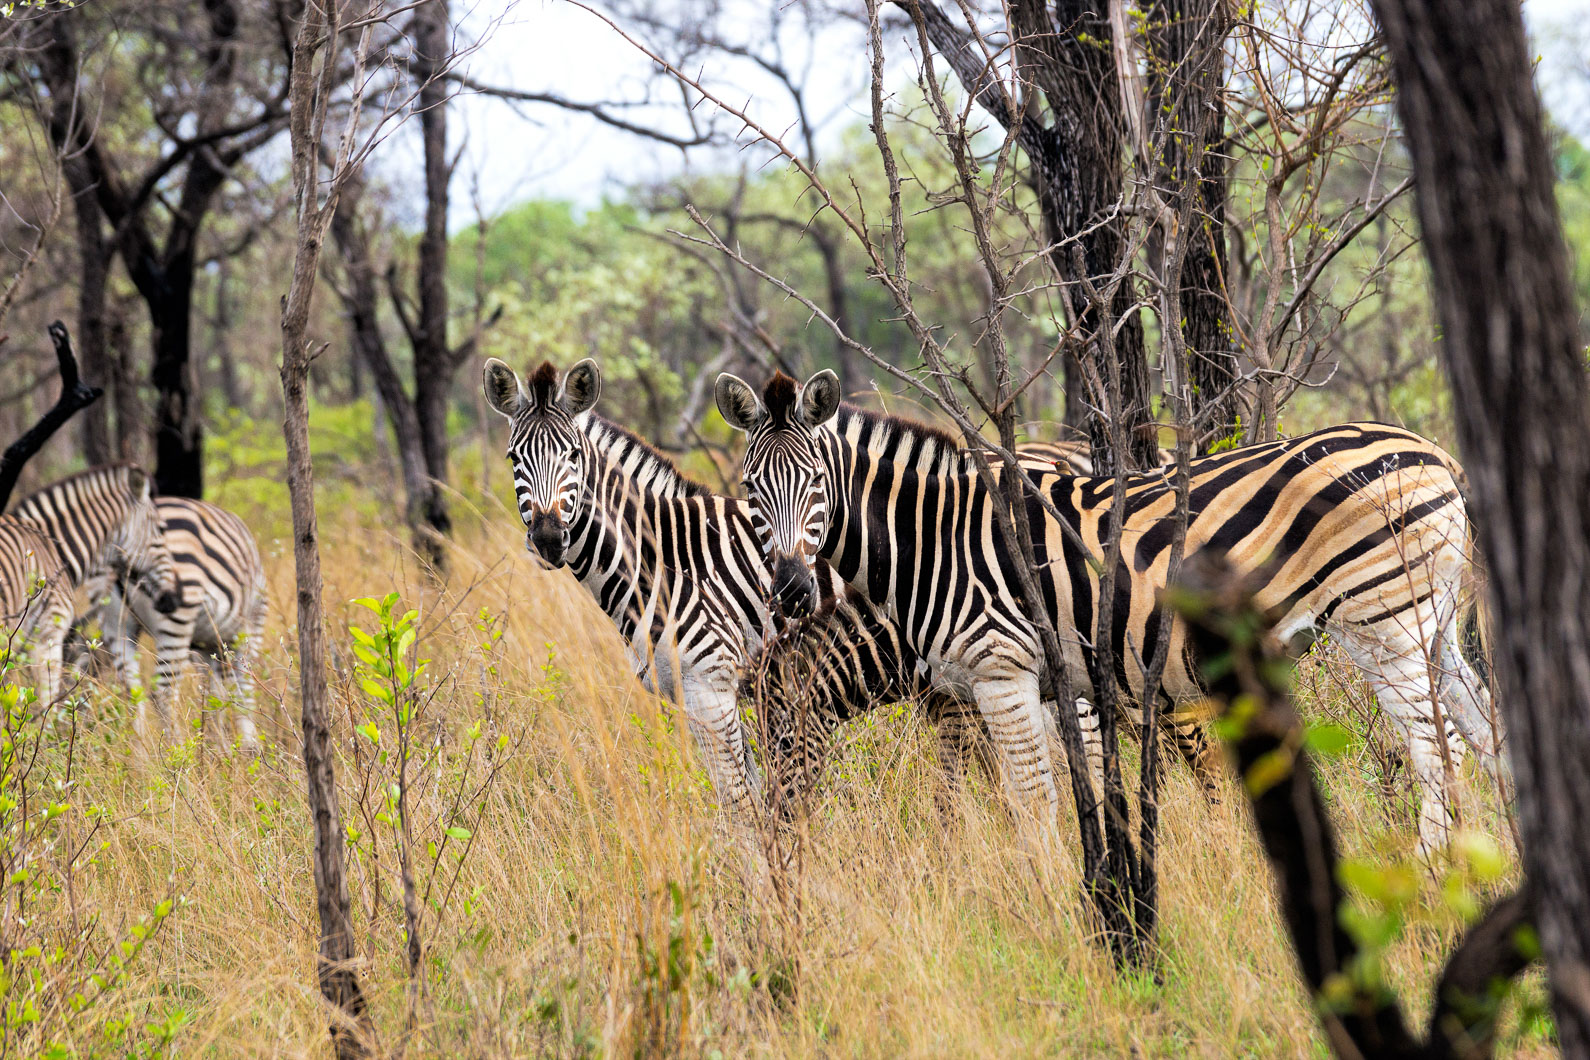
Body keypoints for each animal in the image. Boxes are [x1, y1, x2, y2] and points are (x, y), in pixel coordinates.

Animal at [75, 497, 266, 751]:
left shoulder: (206, 647)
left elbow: (214, 695)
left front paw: (218, 747)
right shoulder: (249, 627)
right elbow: (242, 689)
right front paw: (246, 748)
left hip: (116, 623)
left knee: (132, 691)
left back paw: (141, 756)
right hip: (178, 612)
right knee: (162, 692)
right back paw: (177, 752)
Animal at [716, 369, 1496, 852]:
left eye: (816, 481)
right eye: (751, 487)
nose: (790, 589)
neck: (935, 541)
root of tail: (1433, 452)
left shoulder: (1005, 672)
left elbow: (1031, 797)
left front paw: (1050, 900)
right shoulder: (993, 690)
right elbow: (1003, 791)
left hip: (1385, 621)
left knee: (1437, 748)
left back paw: (1435, 868)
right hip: (1435, 625)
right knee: (1483, 728)